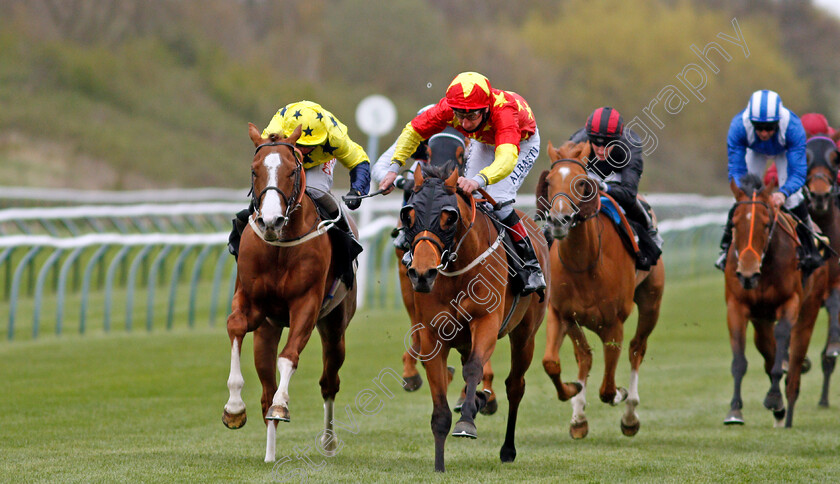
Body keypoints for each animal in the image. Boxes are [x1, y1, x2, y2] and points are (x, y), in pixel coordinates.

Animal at [221, 124, 356, 462]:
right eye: (253, 170)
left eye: (292, 171)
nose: (271, 220)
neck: (280, 245)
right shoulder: (252, 304)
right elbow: (236, 326)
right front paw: (233, 407)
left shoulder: (306, 304)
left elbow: (289, 357)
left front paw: (283, 405)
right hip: (267, 331)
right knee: (265, 391)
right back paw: (269, 454)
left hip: (335, 328)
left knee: (329, 382)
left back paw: (328, 442)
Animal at [402, 164, 560, 470]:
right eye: (409, 214)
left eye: (448, 217)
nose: (422, 274)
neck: (456, 272)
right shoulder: (431, 334)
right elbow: (440, 405)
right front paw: (439, 465)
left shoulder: (486, 322)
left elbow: (475, 367)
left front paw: (466, 423)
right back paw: (477, 401)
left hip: (525, 335)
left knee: (515, 386)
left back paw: (507, 448)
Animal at [540, 140, 664, 438]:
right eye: (549, 181)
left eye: (582, 182)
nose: (559, 220)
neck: (584, 264)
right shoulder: (561, 314)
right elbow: (553, 362)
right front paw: (572, 393)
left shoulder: (613, 324)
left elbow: (607, 388)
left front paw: (620, 394)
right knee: (584, 356)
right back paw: (579, 416)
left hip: (651, 302)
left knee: (637, 348)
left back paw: (630, 414)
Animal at [720, 173, 828, 428]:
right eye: (734, 223)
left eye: (766, 224)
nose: (747, 274)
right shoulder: (737, 306)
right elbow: (740, 359)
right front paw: (734, 410)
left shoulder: (790, 302)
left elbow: (782, 339)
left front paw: (774, 397)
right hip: (761, 319)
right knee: (766, 348)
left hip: (809, 309)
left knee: (795, 358)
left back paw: (786, 409)